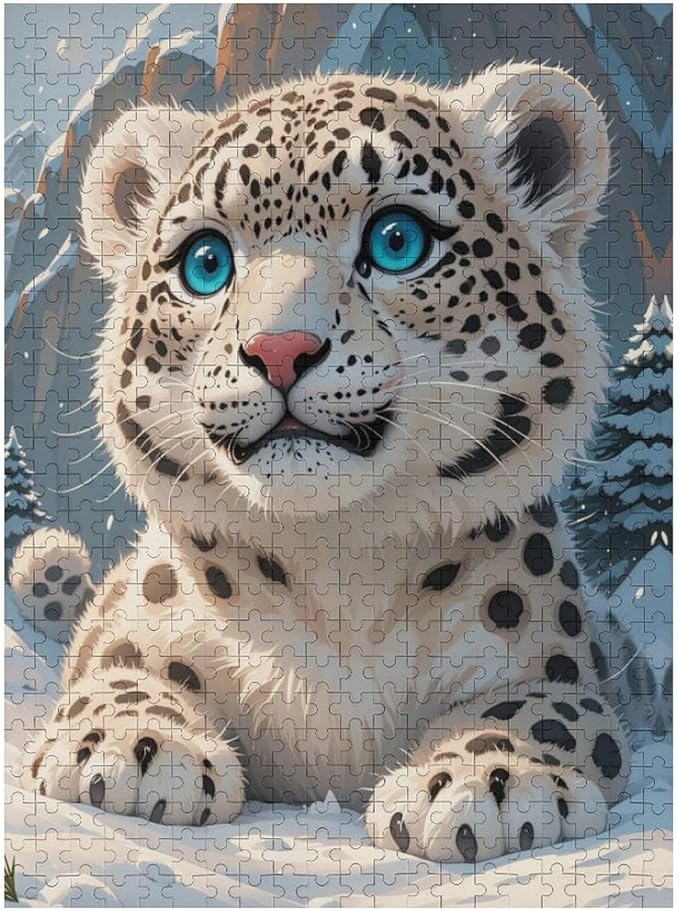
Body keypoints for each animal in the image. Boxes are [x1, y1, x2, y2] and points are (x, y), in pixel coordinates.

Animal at [11, 64, 631, 863]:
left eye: (397, 240)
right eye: (206, 262)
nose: (279, 350)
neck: (338, 570)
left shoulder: (560, 665)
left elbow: (543, 709)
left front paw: (485, 783)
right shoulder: (124, 634)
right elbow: (114, 675)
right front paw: (136, 752)